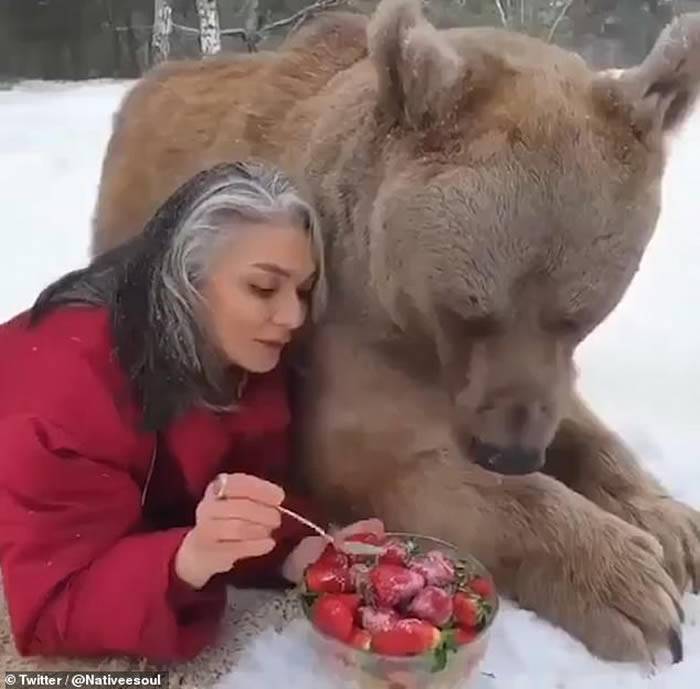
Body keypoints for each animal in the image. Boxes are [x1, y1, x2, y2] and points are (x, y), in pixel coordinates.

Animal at [91, 0, 700, 668]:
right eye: (469, 309)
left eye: (582, 315)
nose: (510, 452)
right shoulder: (349, 331)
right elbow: (391, 463)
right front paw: (635, 591)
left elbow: (579, 423)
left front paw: (674, 526)